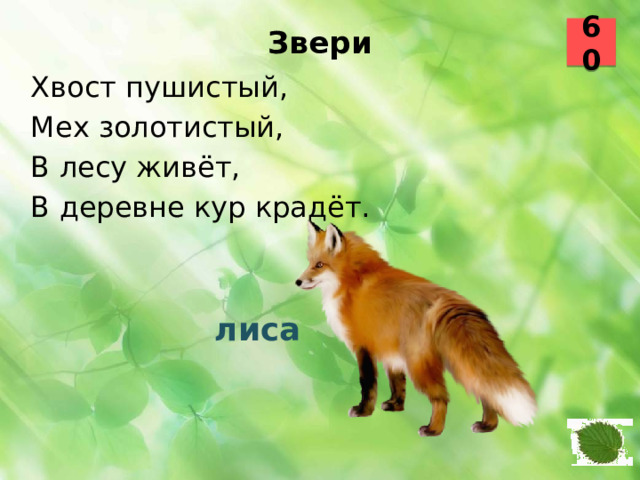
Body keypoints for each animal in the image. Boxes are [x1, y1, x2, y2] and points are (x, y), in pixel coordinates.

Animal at [295, 221, 537, 436]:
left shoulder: (363, 346)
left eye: (319, 265)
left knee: (442, 398)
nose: (298, 281)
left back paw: (433, 430)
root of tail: (454, 302)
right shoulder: (390, 352)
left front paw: (363, 411)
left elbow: (368, 384)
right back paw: (487, 426)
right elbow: (397, 384)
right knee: (484, 393)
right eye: (309, 262)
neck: (353, 280)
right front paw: (395, 406)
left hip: (418, 365)